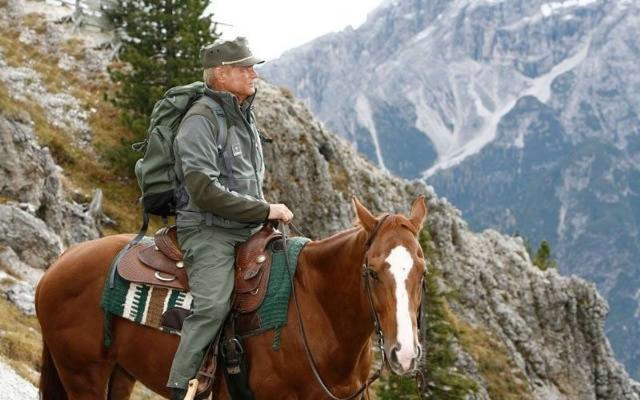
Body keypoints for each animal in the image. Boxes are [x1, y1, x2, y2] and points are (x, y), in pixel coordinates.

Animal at [33, 195, 424, 398]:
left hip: (120, 374)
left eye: (422, 272)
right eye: (371, 271)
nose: (404, 354)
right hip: (83, 376)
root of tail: (60, 263)